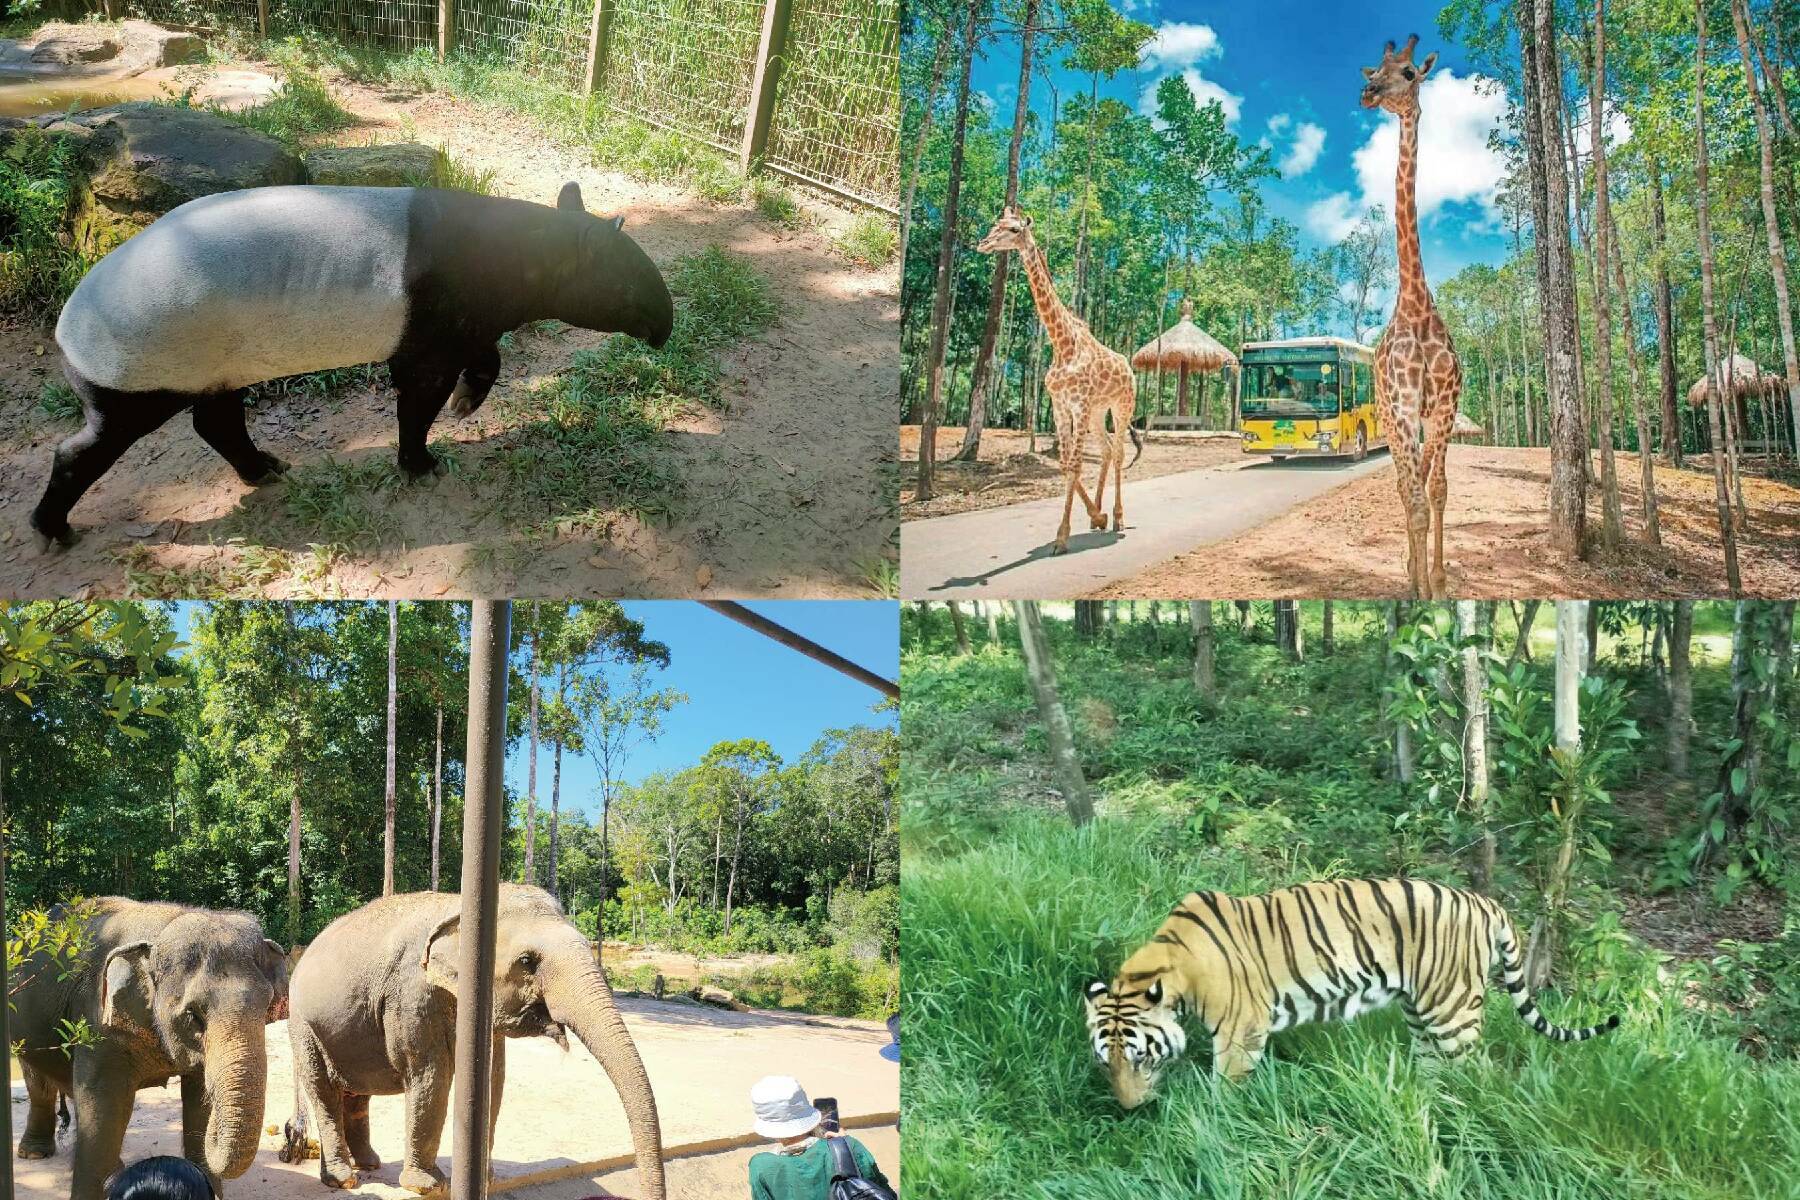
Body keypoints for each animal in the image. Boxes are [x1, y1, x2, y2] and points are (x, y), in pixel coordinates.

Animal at [8, 899, 288, 1200]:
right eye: (193, 1015)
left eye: (267, 1006)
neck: (162, 928)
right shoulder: (98, 1019)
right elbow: (103, 1104)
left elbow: (197, 1102)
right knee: (39, 1084)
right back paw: (33, 1154)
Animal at [284, 881, 666, 1200]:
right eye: (527, 961)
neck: (462, 907)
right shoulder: (411, 996)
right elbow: (430, 1075)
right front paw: (428, 1186)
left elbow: (494, 1078)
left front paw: (485, 1178)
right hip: (302, 1024)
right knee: (323, 1089)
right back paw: (344, 1179)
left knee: (356, 1095)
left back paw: (369, 1164)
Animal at [979, 210, 1144, 554]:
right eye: (995, 225)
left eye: (1012, 230)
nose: (983, 244)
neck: (1062, 343)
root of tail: (1130, 368)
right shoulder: (1060, 405)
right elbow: (1067, 464)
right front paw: (1094, 517)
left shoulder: (1078, 405)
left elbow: (1076, 464)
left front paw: (1062, 536)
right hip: (1097, 412)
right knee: (1106, 451)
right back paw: (1101, 516)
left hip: (1121, 406)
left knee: (1119, 453)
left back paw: (1119, 518)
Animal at [1087, 877, 1627, 1115]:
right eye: (1105, 1062)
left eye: (1139, 1056)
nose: (1128, 1109)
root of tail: (1485, 901)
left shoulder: (1241, 1032)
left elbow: (1227, 1088)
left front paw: (1219, 1125)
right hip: (1421, 1012)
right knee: (1435, 1068)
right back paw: (1429, 1104)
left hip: (1452, 1013)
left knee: (1481, 1074)